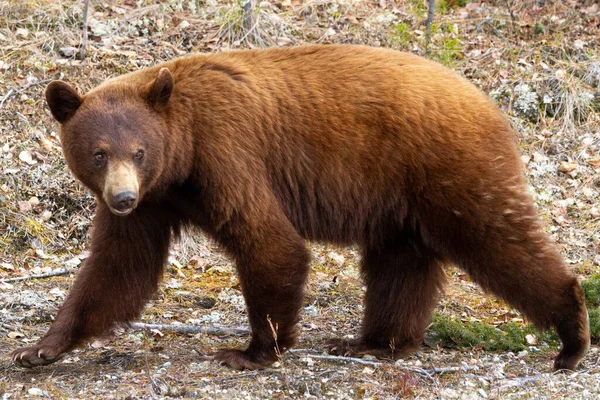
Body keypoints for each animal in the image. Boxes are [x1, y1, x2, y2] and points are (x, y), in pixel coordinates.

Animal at [11, 44, 588, 372]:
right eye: (98, 153)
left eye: (137, 151)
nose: (122, 197)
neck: (181, 152)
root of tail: (488, 101)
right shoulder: (159, 200)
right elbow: (117, 268)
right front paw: (41, 347)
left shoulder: (226, 153)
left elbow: (269, 240)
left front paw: (252, 350)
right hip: (400, 198)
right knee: (400, 266)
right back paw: (374, 342)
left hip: (446, 166)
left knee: (497, 239)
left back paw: (571, 334)